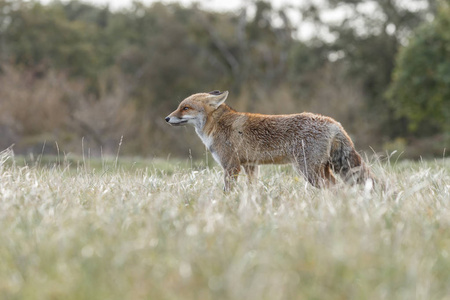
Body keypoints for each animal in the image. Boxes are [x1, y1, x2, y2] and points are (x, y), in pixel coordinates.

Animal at [165, 90, 372, 191]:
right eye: (179, 107)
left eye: (185, 108)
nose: (166, 118)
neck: (217, 125)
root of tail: (333, 122)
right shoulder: (250, 165)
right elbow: (252, 188)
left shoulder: (231, 166)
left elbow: (227, 191)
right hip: (323, 169)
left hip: (309, 171)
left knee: (336, 188)